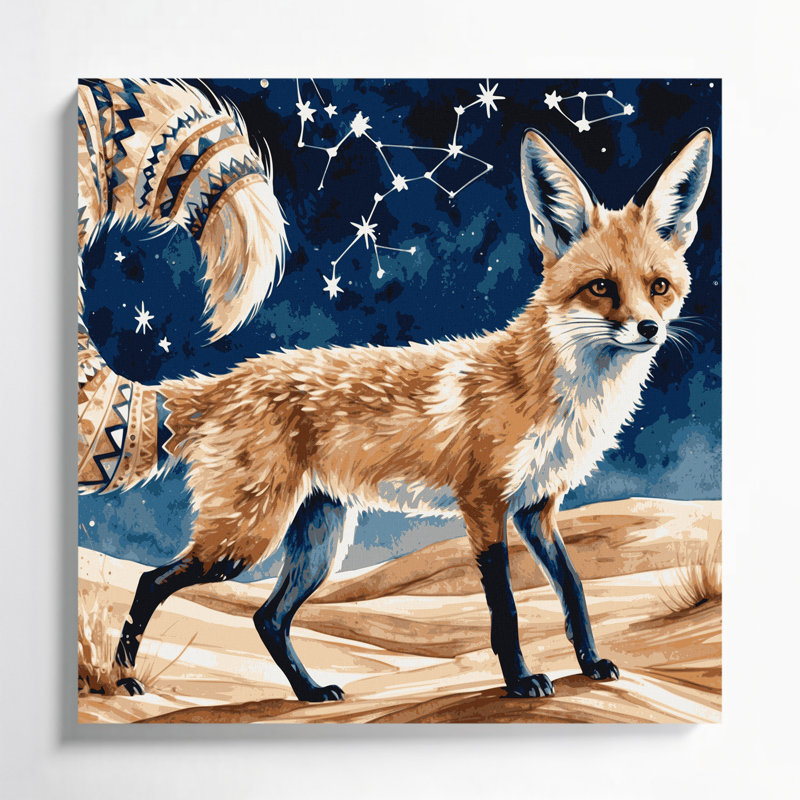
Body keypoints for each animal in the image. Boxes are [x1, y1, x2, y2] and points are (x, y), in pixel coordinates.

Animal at [78, 80, 712, 702]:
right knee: (152, 580)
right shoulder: (484, 504)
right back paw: (124, 678)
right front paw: (519, 680)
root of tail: (228, 379)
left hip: (319, 539)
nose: (649, 329)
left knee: (267, 618)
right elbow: (505, 608)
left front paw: (591, 663)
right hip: (245, 538)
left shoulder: (537, 508)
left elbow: (574, 589)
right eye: (601, 288)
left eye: (658, 287)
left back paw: (309, 692)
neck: (562, 400)